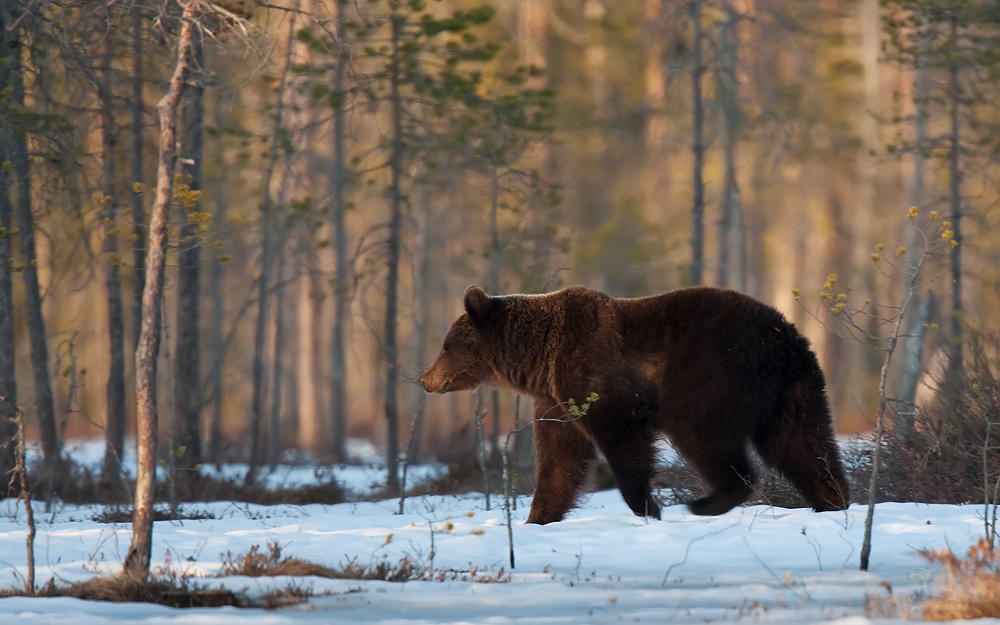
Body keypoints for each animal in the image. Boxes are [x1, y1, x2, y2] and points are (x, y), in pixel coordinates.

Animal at [418, 286, 848, 524]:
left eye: (446, 345)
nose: (425, 379)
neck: (539, 358)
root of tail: (785, 335)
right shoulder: (557, 398)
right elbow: (559, 460)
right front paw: (538, 517)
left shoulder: (596, 374)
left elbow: (622, 437)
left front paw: (648, 506)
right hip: (795, 391)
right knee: (804, 445)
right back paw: (834, 501)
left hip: (713, 373)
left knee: (702, 432)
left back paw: (706, 502)